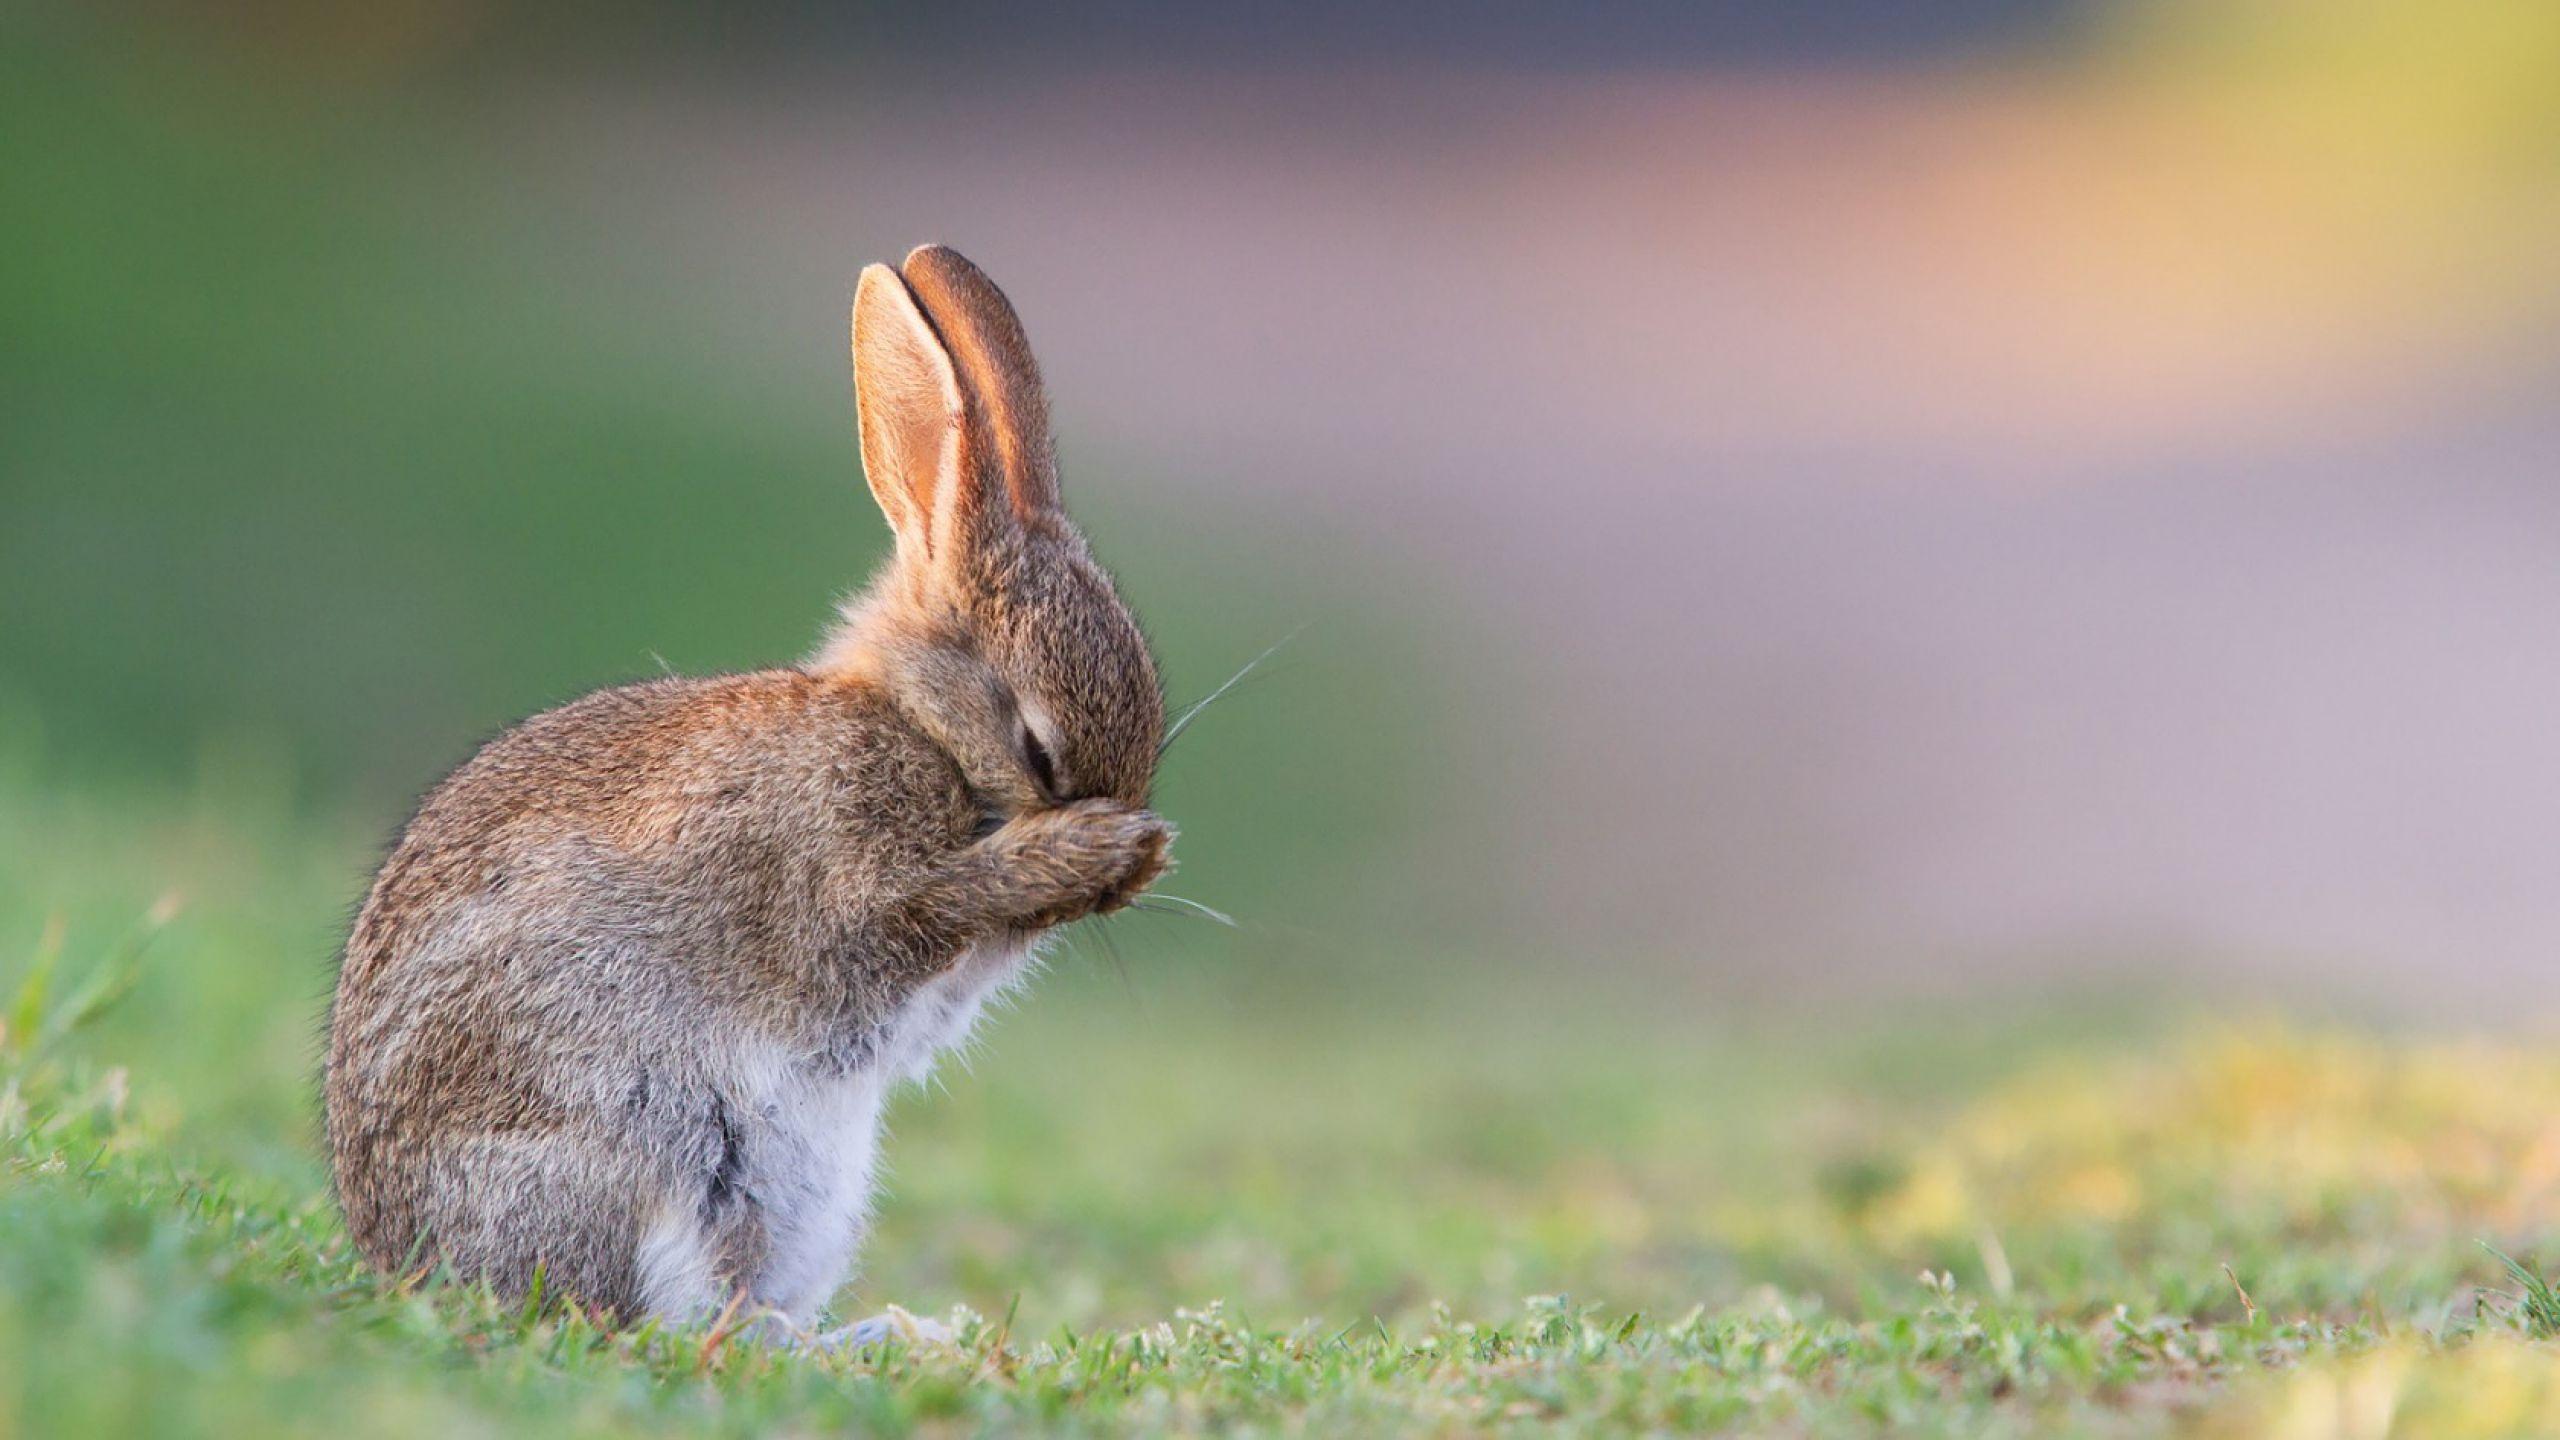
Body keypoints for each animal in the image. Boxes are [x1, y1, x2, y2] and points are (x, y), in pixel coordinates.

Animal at [323, 245, 1172, 1339]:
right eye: (1038, 750)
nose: (1126, 866)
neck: (917, 726)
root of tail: (410, 1263)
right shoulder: (843, 889)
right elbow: (914, 917)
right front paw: (1088, 852)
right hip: (657, 1147)